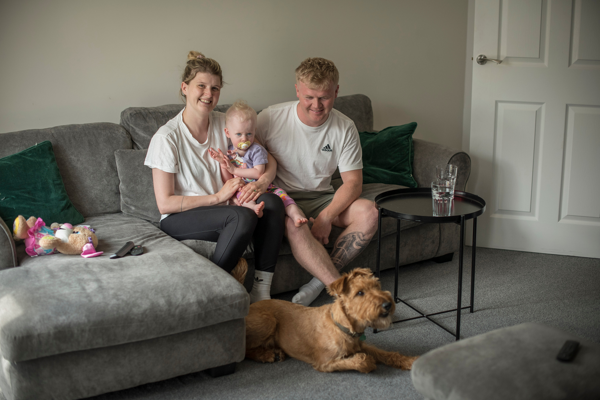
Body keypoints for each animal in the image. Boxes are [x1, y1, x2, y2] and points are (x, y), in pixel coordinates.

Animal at [244, 268, 418, 374]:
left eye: (377, 285)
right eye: (360, 293)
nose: (388, 304)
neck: (344, 327)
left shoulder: (362, 345)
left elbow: (385, 353)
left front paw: (409, 361)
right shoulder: (325, 363)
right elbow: (363, 361)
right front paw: (366, 360)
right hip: (268, 321)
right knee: (245, 349)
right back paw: (266, 355)